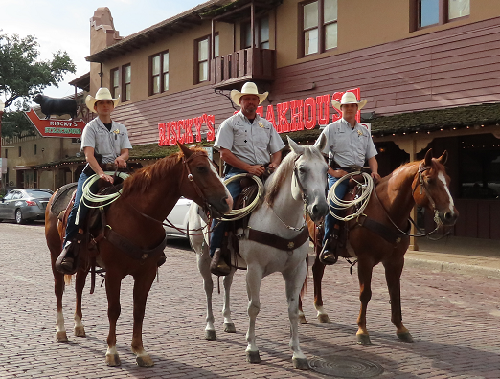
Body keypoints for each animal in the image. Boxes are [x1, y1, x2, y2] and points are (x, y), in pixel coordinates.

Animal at [44, 144, 231, 366]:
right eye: (201, 168)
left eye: (216, 166)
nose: (227, 201)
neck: (137, 218)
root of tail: (56, 193)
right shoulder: (114, 273)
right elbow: (114, 310)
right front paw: (112, 351)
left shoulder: (146, 273)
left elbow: (139, 310)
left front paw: (140, 350)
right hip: (55, 254)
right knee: (58, 289)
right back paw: (61, 330)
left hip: (83, 260)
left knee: (79, 287)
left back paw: (79, 326)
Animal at [189, 137, 330, 372]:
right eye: (302, 169)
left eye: (326, 169)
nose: (320, 208)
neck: (279, 218)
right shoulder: (254, 269)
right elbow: (253, 307)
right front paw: (252, 349)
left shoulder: (297, 270)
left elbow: (293, 310)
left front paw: (298, 353)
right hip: (201, 254)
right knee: (208, 287)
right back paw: (211, 327)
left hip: (230, 260)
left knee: (226, 283)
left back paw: (228, 321)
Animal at [298, 150, 458, 346]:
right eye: (429, 180)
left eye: (448, 180)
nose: (451, 215)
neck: (386, 211)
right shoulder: (365, 260)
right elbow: (365, 293)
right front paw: (362, 330)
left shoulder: (395, 261)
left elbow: (395, 292)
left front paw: (401, 328)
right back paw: (300, 313)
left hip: (320, 248)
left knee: (317, 271)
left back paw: (321, 310)